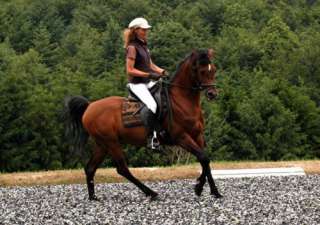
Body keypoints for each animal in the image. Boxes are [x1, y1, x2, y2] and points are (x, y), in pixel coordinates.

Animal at [63, 48, 221, 200]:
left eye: (213, 69)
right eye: (201, 71)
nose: (212, 94)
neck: (181, 100)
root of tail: (89, 107)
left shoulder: (198, 135)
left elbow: (205, 161)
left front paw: (208, 190)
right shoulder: (181, 137)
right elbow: (203, 158)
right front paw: (204, 189)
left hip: (102, 145)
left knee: (90, 168)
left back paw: (93, 197)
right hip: (111, 143)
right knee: (122, 169)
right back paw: (151, 193)